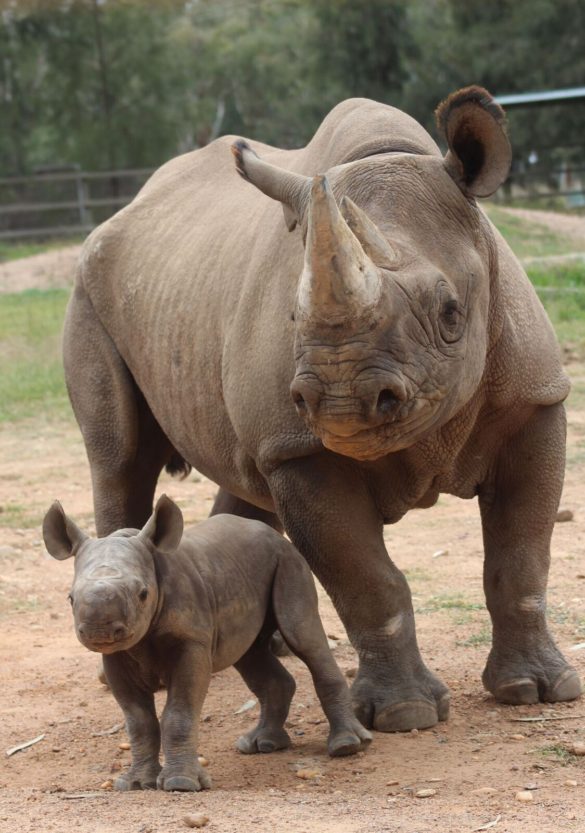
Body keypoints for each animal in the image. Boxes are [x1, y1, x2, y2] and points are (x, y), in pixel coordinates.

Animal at [43, 494, 370, 792]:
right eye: (70, 598)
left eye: (143, 594)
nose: (99, 631)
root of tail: (273, 534)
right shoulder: (116, 657)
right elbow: (138, 721)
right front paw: (135, 784)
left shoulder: (191, 644)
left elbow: (179, 713)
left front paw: (180, 784)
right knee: (250, 654)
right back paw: (259, 745)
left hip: (289, 561)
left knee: (303, 636)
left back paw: (347, 746)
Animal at [65, 88, 580, 732]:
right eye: (292, 317)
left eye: (451, 313)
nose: (340, 399)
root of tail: (126, 211)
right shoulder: (299, 448)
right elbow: (367, 579)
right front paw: (405, 714)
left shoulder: (533, 400)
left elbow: (521, 557)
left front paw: (539, 690)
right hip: (89, 291)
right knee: (121, 460)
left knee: (239, 477)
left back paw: (263, 639)